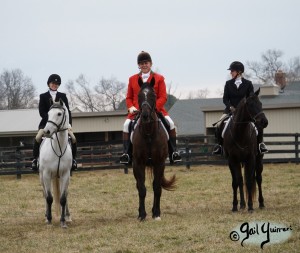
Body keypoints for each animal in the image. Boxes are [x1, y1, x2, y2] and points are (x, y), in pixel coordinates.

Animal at [38, 100, 72, 228]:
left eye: (59, 113)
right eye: (48, 114)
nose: (47, 132)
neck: (58, 149)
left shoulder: (65, 175)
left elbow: (63, 198)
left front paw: (63, 221)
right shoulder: (47, 174)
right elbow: (49, 198)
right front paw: (49, 219)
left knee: (66, 195)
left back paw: (68, 216)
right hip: (42, 177)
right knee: (44, 194)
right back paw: (45, 216)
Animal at [132, 77, 177, 221]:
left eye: (153, 95)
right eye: (139, 95)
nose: (145, 116)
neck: (149, 133)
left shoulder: (159, 163)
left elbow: (157, 187)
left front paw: (156, 213)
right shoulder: (138, 163)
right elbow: (142, 189)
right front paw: (142, 214)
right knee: (139, 186)